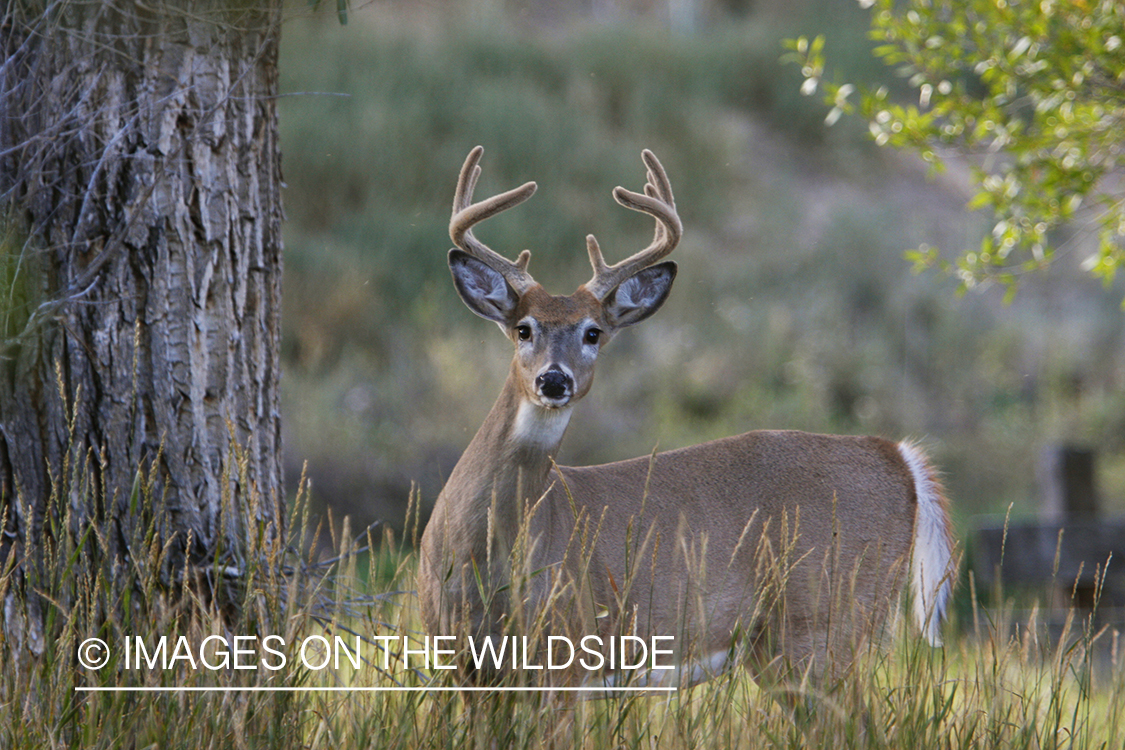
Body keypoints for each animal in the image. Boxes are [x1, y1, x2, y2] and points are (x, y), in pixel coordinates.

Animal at [418, 148, 954, 706]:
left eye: (593, 333)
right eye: (524, 329)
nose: (554, 380)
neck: (481, 552)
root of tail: (897, 454)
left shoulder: (564, 657)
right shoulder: (460, 664)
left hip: (823, 622)